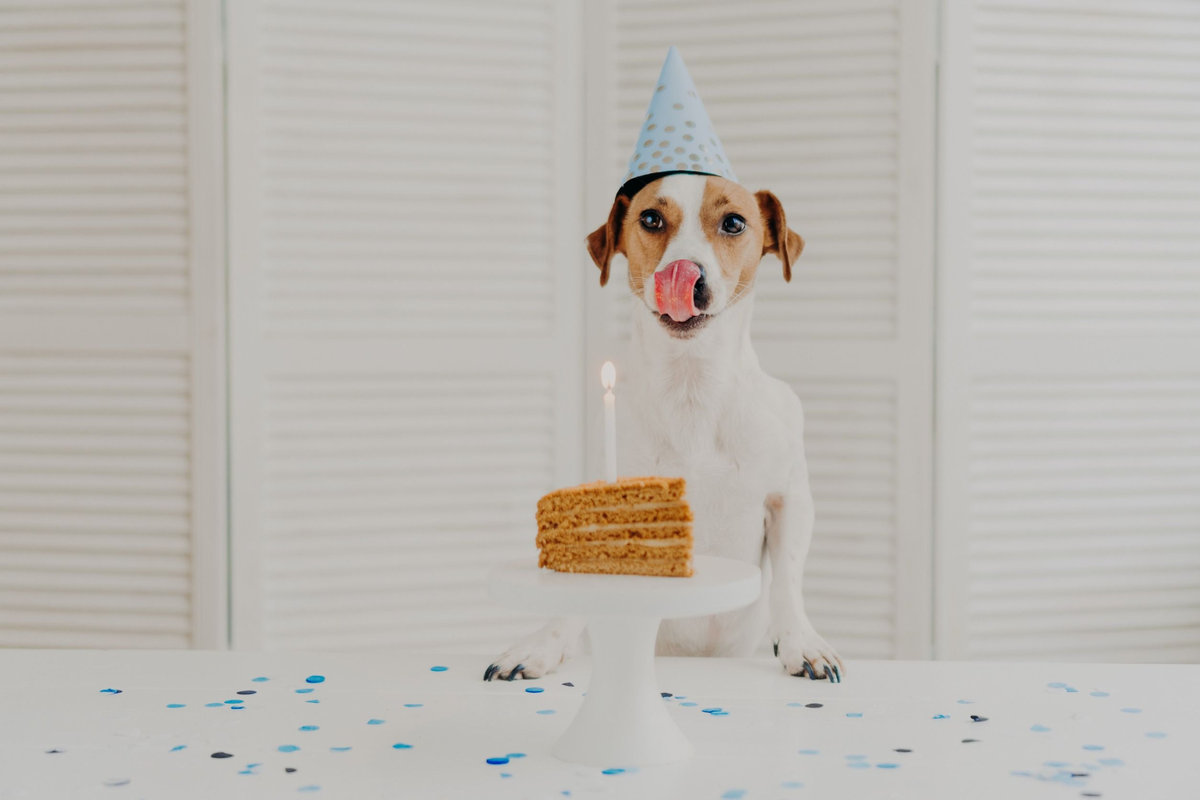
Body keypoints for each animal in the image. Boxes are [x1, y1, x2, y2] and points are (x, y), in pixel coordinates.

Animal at [482, 173, 840, 681]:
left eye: (734, 222)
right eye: (651, 218)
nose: (685, 275)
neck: (691, 387)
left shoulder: (789, 499)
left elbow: (787, 580)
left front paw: (801, 643)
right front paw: (543, 645)